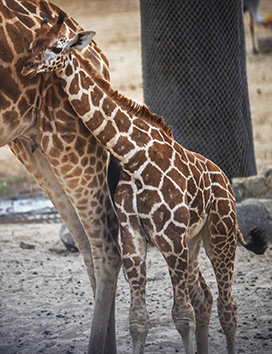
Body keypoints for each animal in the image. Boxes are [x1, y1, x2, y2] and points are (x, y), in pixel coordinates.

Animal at [0, 1, 121, 352]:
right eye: (29, 45)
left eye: (55, 48)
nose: (25, 67)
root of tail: (99, 56)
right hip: (31, 142)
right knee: (86, 242)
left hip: (71, 140)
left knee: (106, 244)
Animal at [21, 11, 268, 354]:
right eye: (33, 42)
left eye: (57, 47)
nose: (25, 66)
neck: (134, 158)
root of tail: (226, 182)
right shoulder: (134, 238)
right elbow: (138, 319)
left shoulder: (171, 237)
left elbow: (182, 316)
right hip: (195, 241)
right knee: (204, 298)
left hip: (221, 234)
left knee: (227, 306)